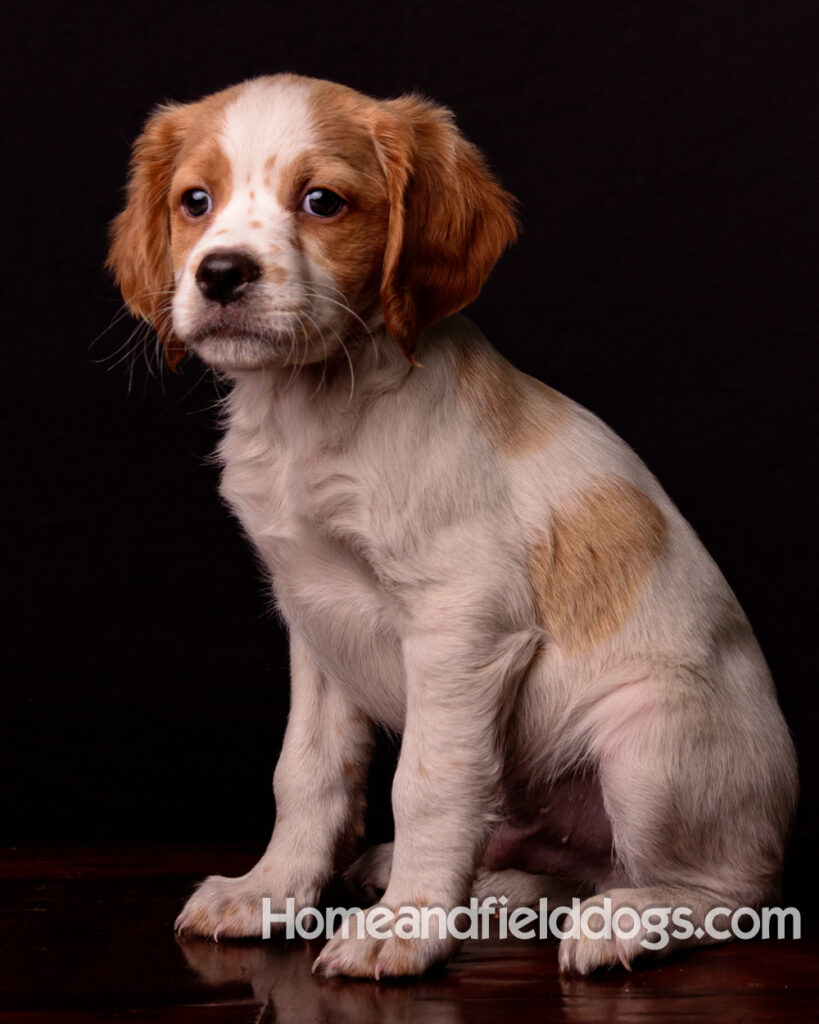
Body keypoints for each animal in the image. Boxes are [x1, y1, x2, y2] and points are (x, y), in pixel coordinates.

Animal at [105, 74, 798, 974]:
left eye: (322, 201)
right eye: (195, 201)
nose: (220, 274)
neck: (313, 407)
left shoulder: (460, 617)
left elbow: (427, 785)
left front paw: (404, 929)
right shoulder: (313, 616)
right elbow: (307, 772)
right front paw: (271, 891)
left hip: (646, 742)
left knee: (730, 887)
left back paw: (627, 917)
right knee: (561, 865)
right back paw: (488, 893)